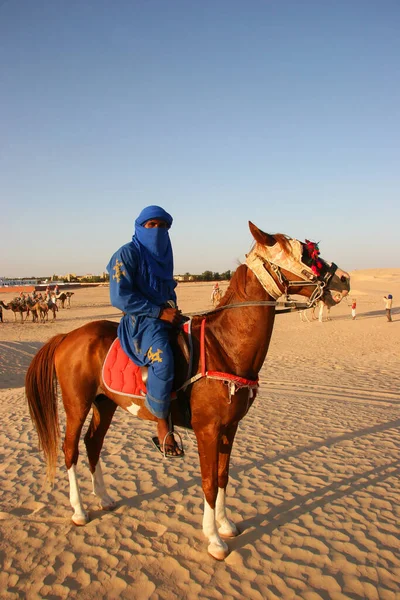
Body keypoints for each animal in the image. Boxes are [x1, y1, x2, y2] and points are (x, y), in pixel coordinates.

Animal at [25, 223, 350, 560]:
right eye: (306, 254)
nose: (344, 279)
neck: (224, 347)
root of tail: (67, 337)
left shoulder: (229, 428)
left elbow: (222, 477)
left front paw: (225, 525)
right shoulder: (207, 430)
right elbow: (208, 483)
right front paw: (214, 540)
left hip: (105, 403)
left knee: (93, 443)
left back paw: (103, 498)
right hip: (77, 403)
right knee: (71, 449)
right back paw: (79, 510)